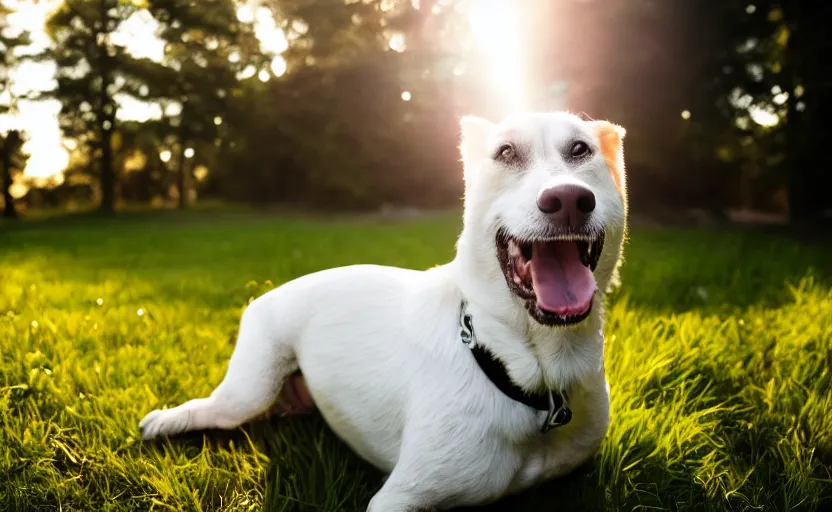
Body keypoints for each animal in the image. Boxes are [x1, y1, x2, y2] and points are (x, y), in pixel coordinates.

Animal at [141, 110, 624, 510]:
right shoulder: (397, 499)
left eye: (580, 149)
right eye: (505, 152)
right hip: (248, 391)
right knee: (213, 408)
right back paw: (162, 422)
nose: (567, 199)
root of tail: (273, 290)